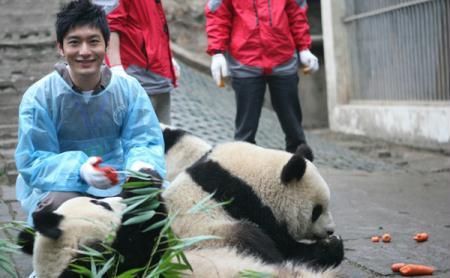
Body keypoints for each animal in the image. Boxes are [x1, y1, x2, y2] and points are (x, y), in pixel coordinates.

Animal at [163, 126, 344, 270]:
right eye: (316, 211)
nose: (330, 230)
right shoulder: (247, 202)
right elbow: (286, 247)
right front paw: (332, 246)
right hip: (209, 237)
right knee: (250, 239)